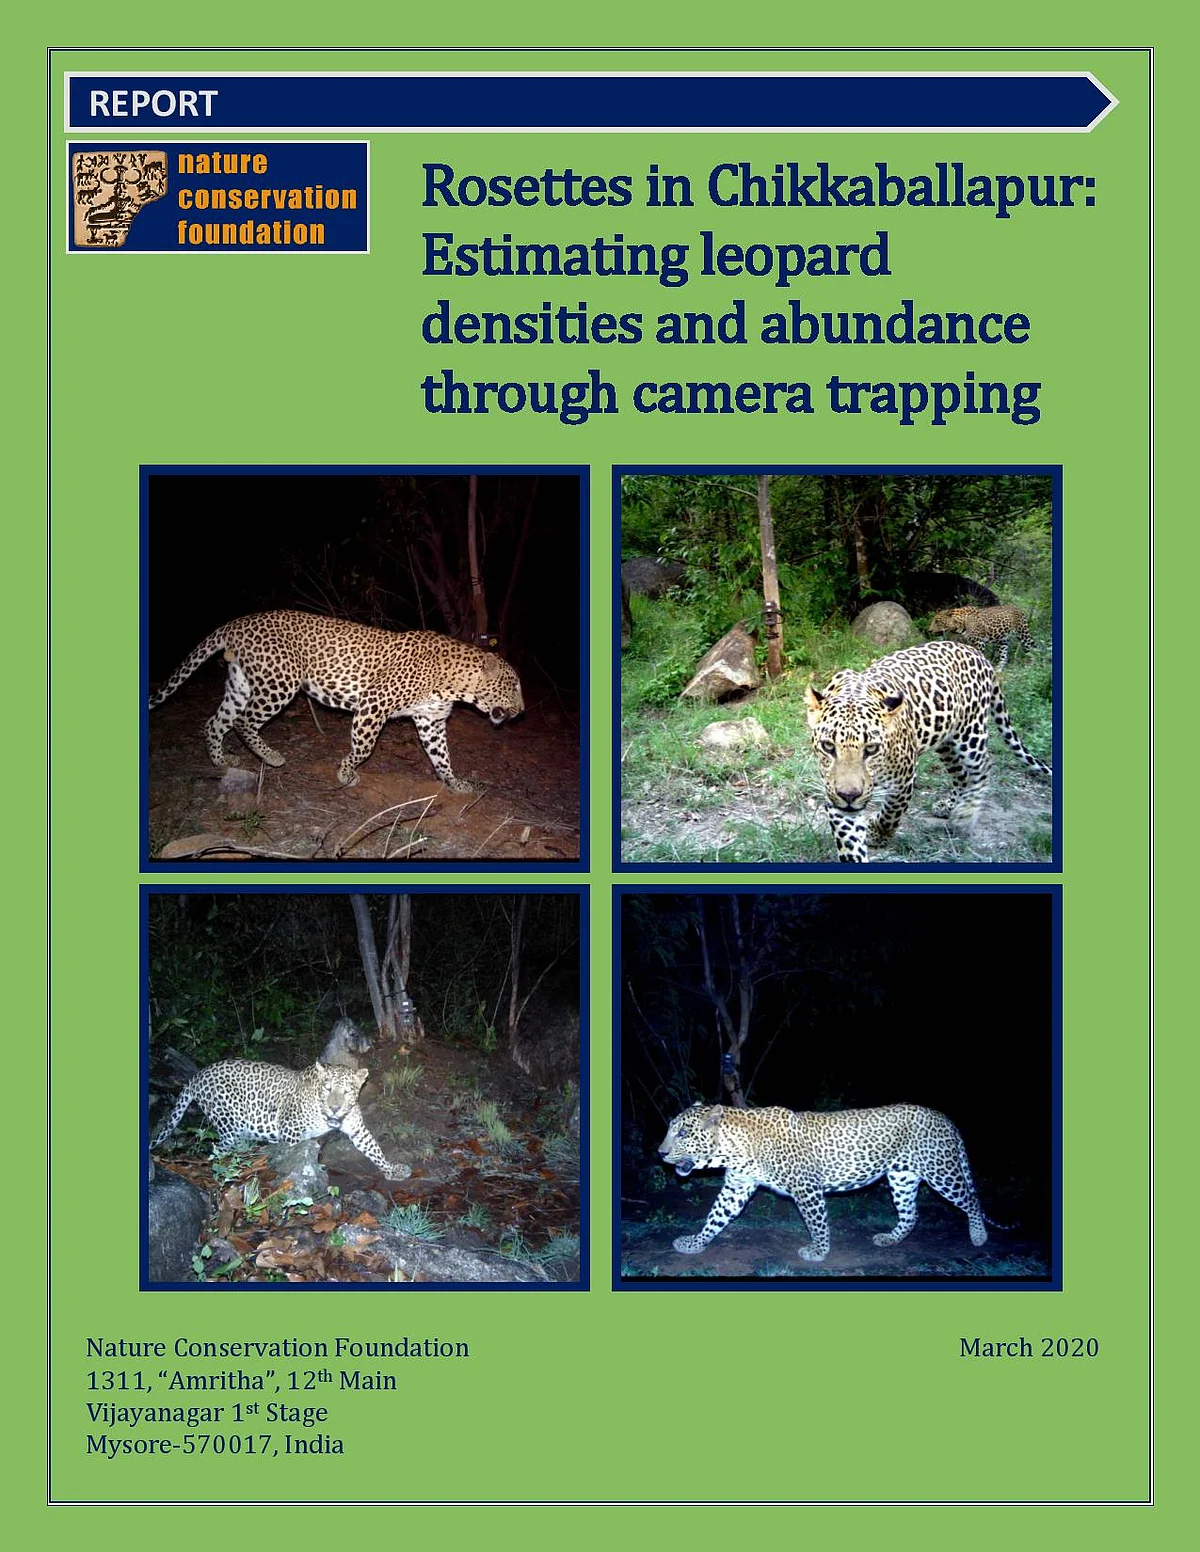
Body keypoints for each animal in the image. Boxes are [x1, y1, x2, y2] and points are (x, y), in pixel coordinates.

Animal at [148, 610, 524, 791]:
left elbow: (442, 756)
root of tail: (235, 623)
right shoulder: (374, 703)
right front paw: (346, 773)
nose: (522, 712)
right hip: (280, 682)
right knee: (243, 721)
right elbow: (364, 748)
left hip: (240, 683)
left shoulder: (430, 721)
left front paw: (454, 782)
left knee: (215, 722)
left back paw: (221, 761)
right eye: (514, 686)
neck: (456, 684)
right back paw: (272, 757)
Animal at [150, 1057, 410, 1180]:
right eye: (327, 1089)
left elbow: (374, 1148)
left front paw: (392, 1169)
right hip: (229, 1123)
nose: (335, 1108)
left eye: (346, 1092)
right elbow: (295, 1155)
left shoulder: (357, 1129)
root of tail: (198, 1075)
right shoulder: (290, 1130)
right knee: (218, 1150)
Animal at [659, 1101, 1006, 1262]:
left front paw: (818, 1251)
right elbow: (715, 1217)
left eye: (684, 1133)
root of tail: (943, 1117)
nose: (660, 1153)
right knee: (912, 1215)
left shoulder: (806, 1188)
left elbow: (817, 1222)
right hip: (902, 1176)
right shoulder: (738, 1186)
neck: (733, 1149)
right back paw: (890, 1239)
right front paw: (695, 1243)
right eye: (671, 1130)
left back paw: (979, 1237)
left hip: (940, 1170)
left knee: (971, 1200)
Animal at [805, 639, 1051, 863]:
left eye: (871, 749)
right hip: (946, 742)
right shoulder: (834, 793)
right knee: (961, 775)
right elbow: (850, 841)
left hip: (971, 735)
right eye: (828, 746)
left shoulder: (904, 779)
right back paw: (949, 806)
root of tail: (979, 655)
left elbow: (891, 814)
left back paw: (965, 813)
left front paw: (877, 832)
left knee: (983, 766)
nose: (849, 796)